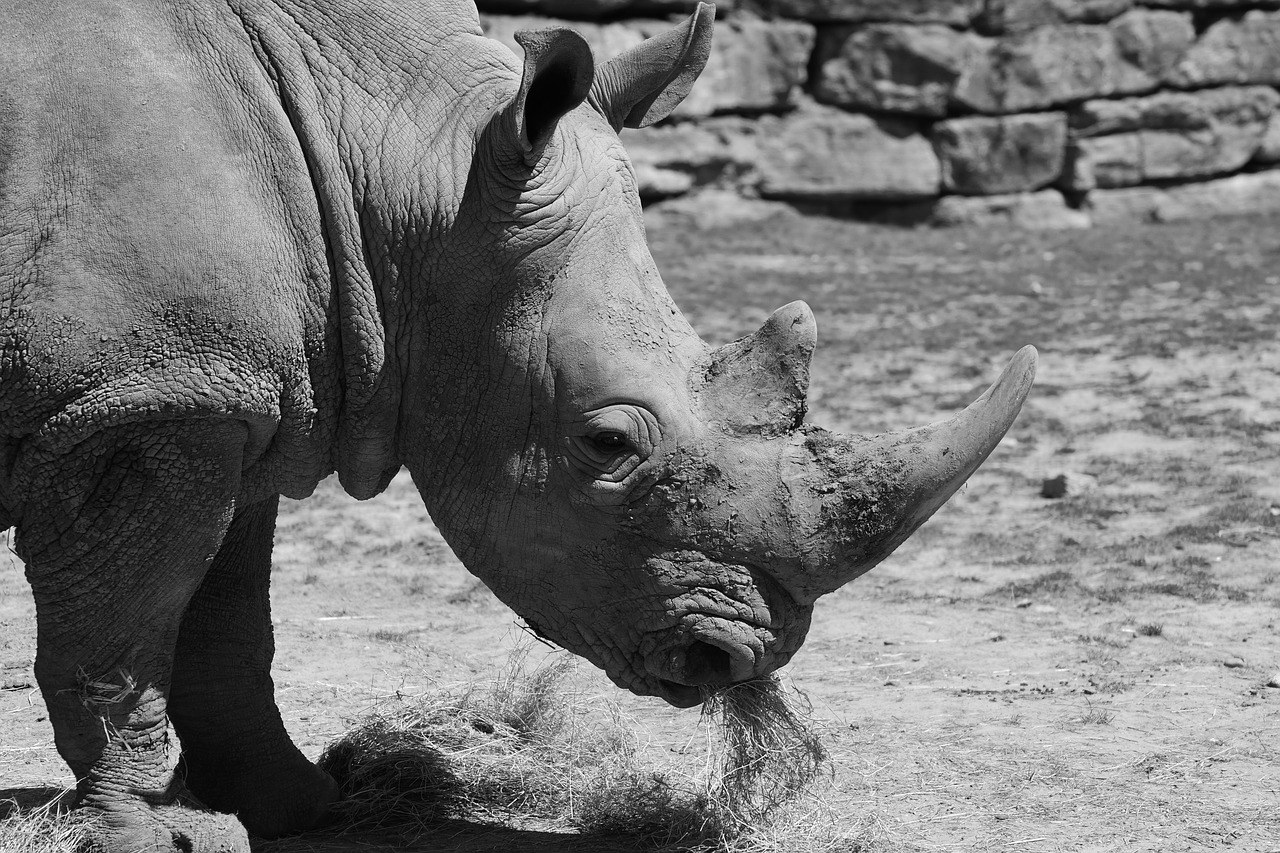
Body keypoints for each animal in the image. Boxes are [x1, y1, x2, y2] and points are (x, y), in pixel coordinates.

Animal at [0, 3, 1034, 845]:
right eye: (607, 444)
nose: (739, 655)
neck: (397, 174)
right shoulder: (140, 401)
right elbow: (122, 631)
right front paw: (147, 835)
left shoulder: (227, 394)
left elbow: (224, 620)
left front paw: (298, 807)